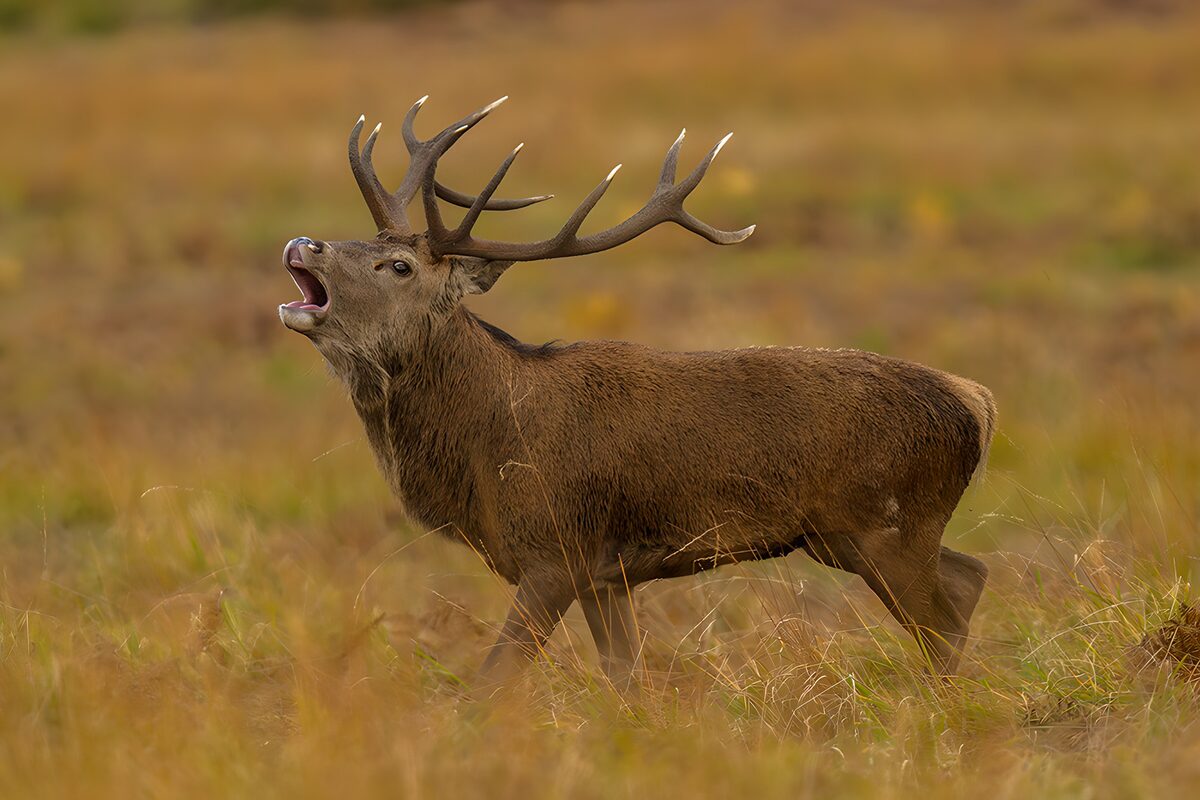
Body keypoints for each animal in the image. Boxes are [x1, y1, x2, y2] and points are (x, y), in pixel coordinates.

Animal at [277, 97, 996, 689]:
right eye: (365, 239)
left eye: (397, 265)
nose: (304, 242)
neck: (486, 454)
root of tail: (978, 402)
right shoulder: (606, 574)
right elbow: (626, 678)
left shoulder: (557, 548)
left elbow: (493, 681)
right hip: (848, 535)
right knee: (970, 578)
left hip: (891, 521)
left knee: (943, 619)